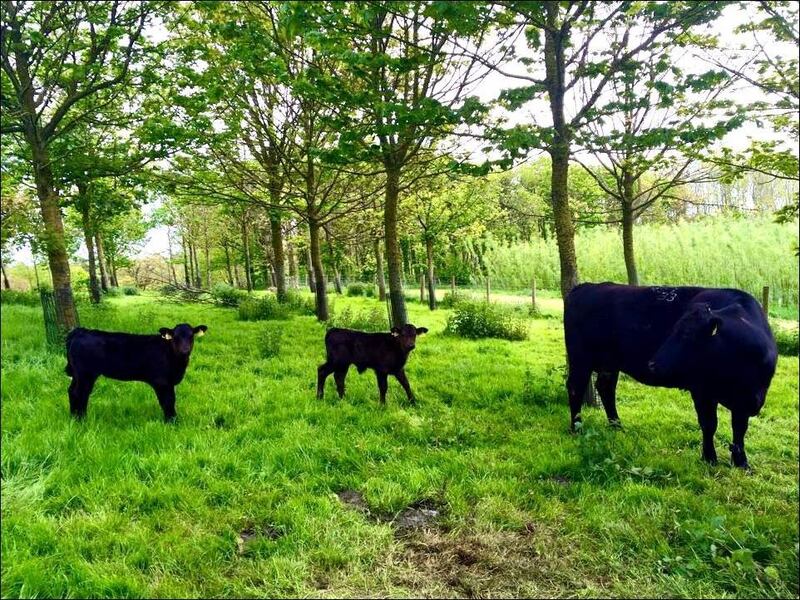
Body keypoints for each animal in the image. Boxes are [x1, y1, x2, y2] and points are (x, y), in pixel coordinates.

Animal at [64, 324, 208, 422]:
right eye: (175, 337)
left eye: (191, 336)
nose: (185, 350)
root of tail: (80, 331)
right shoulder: (162, 381)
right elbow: (168, 401)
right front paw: (172, 421)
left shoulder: (169, 382)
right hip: (85, 374)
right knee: (80, 393)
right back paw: (81, 419)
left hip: (78, 374)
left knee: (72, 391)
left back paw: (73, 417)